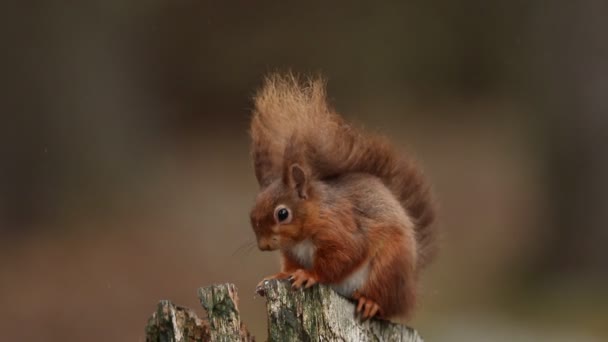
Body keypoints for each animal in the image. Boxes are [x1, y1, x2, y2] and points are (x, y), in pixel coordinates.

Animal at [248, 73, 436, 320]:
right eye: (251, 213)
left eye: (282, 214)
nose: (263, 246)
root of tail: (409, 289)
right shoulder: (292, 252)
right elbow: (290, 266)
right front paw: (278, 275)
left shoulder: (341, 231)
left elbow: (344, 257)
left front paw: (309, 275)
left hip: (389, 265)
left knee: (384, 299)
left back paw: (370, 302)